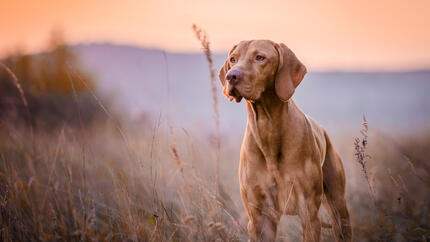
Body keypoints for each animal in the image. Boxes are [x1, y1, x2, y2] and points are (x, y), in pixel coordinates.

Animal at [217, 40, 352, 241]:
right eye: (233, 59)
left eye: (260, 57)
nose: (231, 76)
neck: (268, 129)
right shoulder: (259, 218)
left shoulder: (308, 213)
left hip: (338, 208)